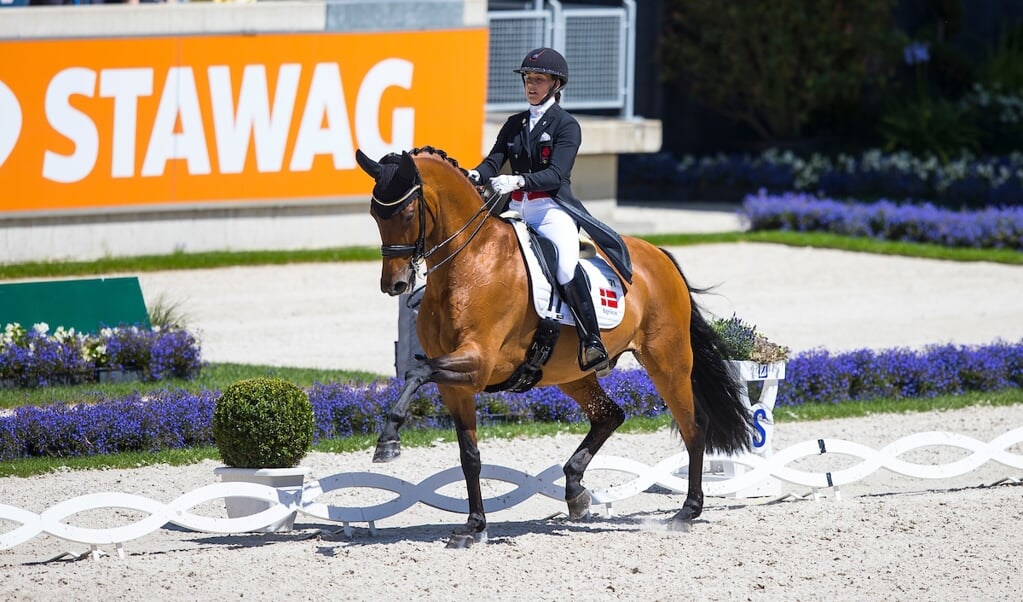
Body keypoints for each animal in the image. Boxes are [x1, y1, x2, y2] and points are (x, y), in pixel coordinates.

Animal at [358, 147, 752, 548]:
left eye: (408, 214)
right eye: (374, 214)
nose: (394, 284)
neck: (469, 264)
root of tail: (658, 256)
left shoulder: (479, 364)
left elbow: (417, 370)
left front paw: (387, 441)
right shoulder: (456, 385)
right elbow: (469, 455)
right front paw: (474, 526)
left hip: (666, 359)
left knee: (693, 427)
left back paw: (687, 511)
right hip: (571, 373)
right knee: (610, 415)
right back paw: (576, 492)